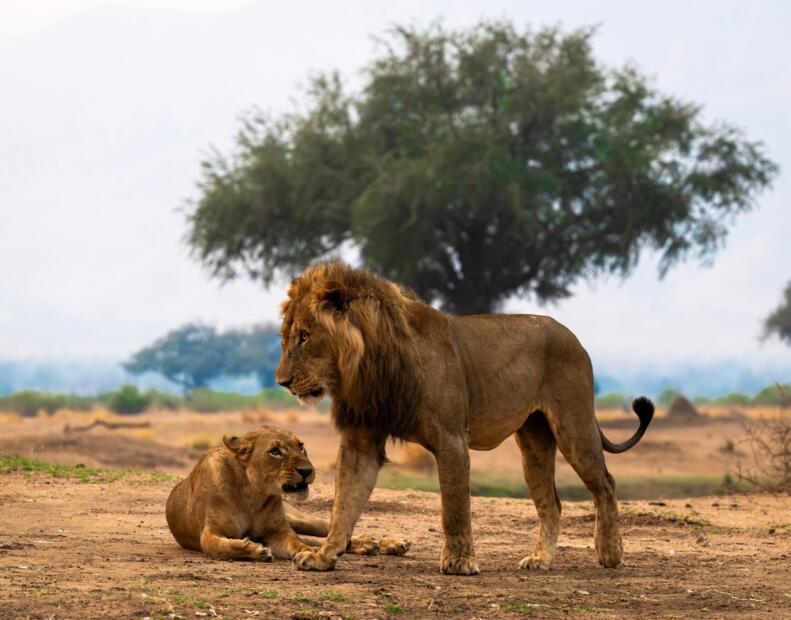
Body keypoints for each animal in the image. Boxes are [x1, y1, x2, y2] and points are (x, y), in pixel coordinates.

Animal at [166, 426, 408, 560]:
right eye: (275, 451)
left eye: (300, 445)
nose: (307, 471)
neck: (252, 494)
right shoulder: (209, 533)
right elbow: (220, 547)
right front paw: (252, 549)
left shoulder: (279, 531)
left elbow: (297, 542)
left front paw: (307, 553)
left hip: (299, 518)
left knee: (328, 531)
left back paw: (388, 543)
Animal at [276, 262, 652, 576]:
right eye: (285, 337)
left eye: (305, 336)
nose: (282, 381)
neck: (369, 364)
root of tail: (573, 337)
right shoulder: (361, 440)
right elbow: (344, 504)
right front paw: (324, 556)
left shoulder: (451, 441)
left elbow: (454, 508)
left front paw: (459, 562)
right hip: (534, 443)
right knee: (552, 503)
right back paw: (541, 560)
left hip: (573, 425)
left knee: (605, 484)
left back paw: (610, 553)